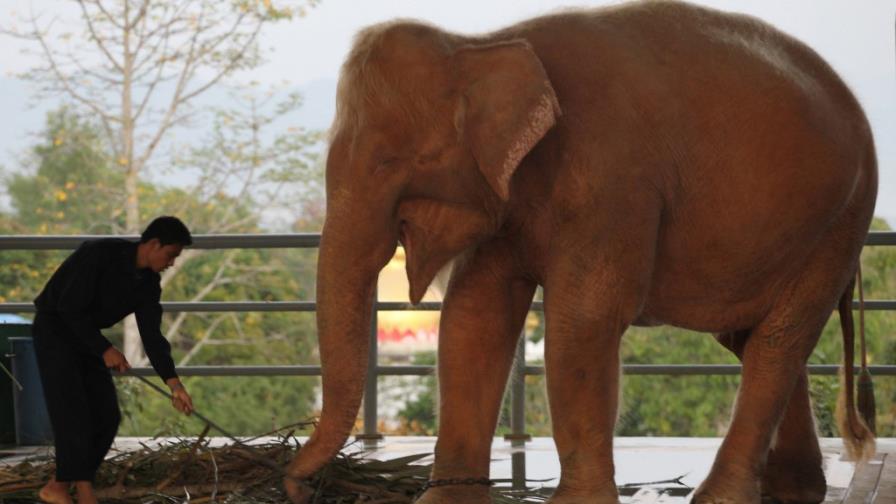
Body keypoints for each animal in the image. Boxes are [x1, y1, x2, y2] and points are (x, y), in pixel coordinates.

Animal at [285, 1, 878, 503]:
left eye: (387, 161)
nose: (294, 484)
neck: (483, 43)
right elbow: (474, 316)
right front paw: (445, 501)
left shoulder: (611, 179)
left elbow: (584, 320)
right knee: (753, 337)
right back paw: (793, 492)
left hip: (841, 221)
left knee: (778, 341)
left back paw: (724, 498)